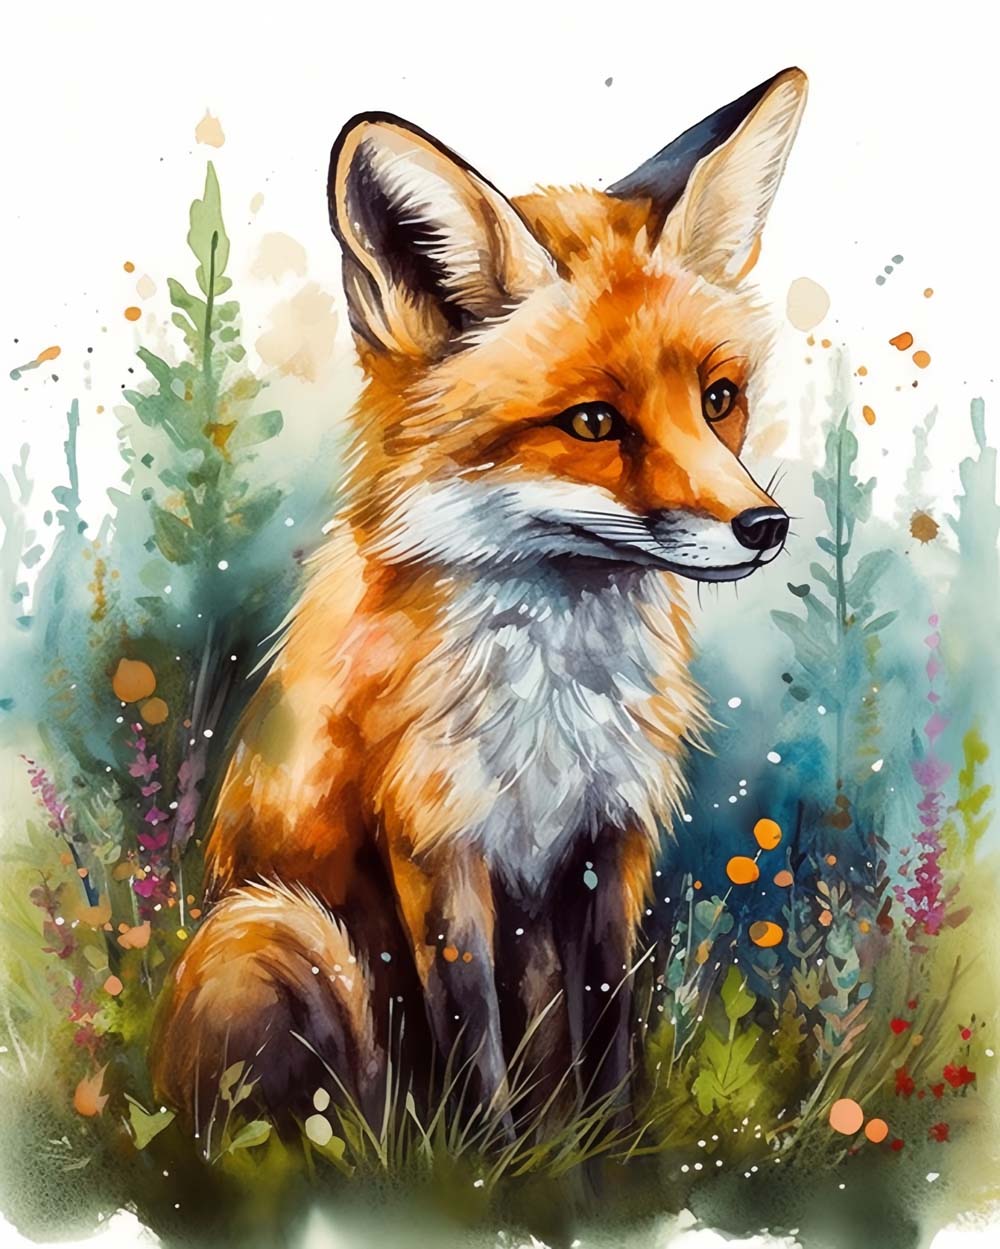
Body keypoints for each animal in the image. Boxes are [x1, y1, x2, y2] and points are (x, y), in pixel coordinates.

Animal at [150, 67, 808, 1137]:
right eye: (594, 422)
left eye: (718, 399)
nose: (766, 525)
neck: (552, 701)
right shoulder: (437, 842)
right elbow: (471, 1039)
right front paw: (489, 1164)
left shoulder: (610, 836)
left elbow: (610, 1024)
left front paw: (608, 1152)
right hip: (279, 927)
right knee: (305, 1124)